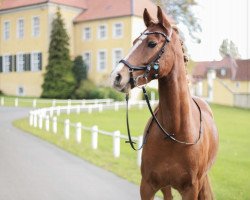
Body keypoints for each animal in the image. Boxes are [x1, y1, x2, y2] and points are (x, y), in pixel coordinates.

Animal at [110, 5, 218, 198]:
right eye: (134, 41)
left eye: (152, 43)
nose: (117, 76)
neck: (174, 132)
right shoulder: (147, 186)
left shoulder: (191, 190)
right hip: (166, 186)